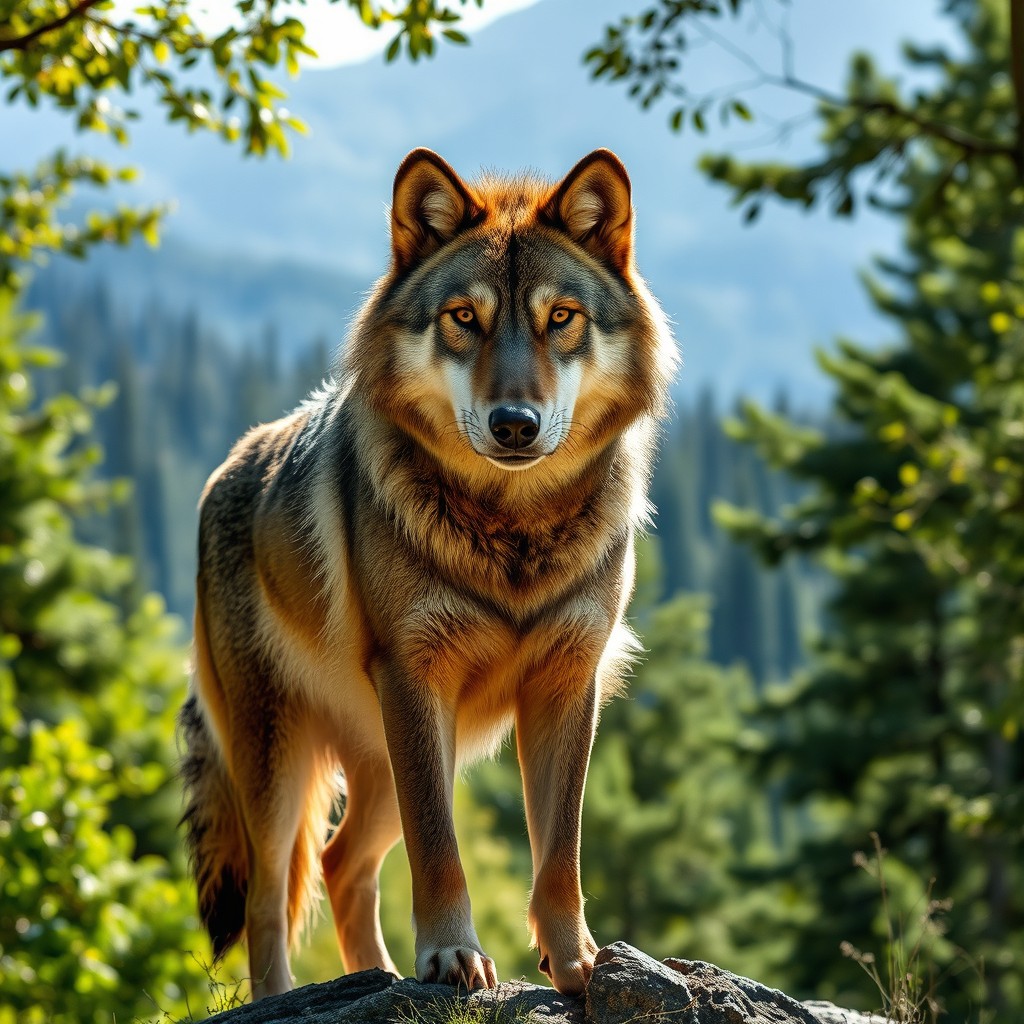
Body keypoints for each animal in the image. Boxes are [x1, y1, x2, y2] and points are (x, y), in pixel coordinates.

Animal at [178, 147, 677, 999]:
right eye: (463, 318)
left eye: (561, 318)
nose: (515, 424)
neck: (513, 533)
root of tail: (225, 469)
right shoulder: (416, 678)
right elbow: (441, 848)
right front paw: (451, 956)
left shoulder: (568, 682)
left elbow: (561, 851)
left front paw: (577, 962)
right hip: (282, 766)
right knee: (273, 895)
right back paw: (293, 993)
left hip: (383, 767)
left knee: (343, 863)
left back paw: (375, 975)